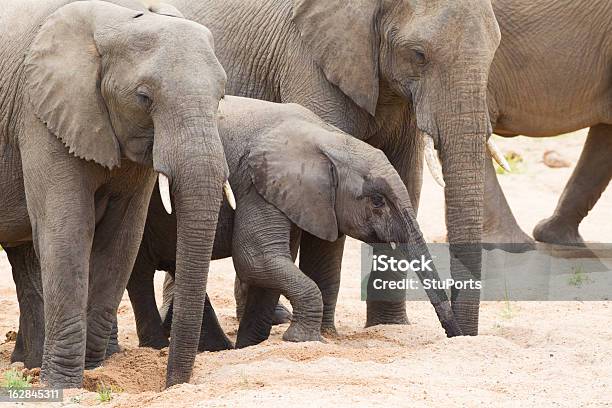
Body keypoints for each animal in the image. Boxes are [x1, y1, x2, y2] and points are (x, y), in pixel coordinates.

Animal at [0, 0, 230, 388]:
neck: (117, 19)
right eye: (143, 97)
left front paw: (94, 372)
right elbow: (67, 231)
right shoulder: (40, 113)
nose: (172, 384)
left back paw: (26, 366)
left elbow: (121, 240)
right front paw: (63, 385)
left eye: (221, 97)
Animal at [126, 95, 462, 348]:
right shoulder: (257, 184)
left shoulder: (290, 199)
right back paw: (157, 347)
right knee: (138, 271)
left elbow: (269, 269)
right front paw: (302, 341)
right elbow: (257, 259)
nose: (455, 335)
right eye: (377, 201)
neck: (326, 139)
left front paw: (249, 348)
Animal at [171, 0, 502, 334]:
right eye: (419, 54)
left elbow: (407, 177)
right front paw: (326, 334)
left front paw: (390, 328)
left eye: (494, 52)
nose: (458, 335)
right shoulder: (309, 63)